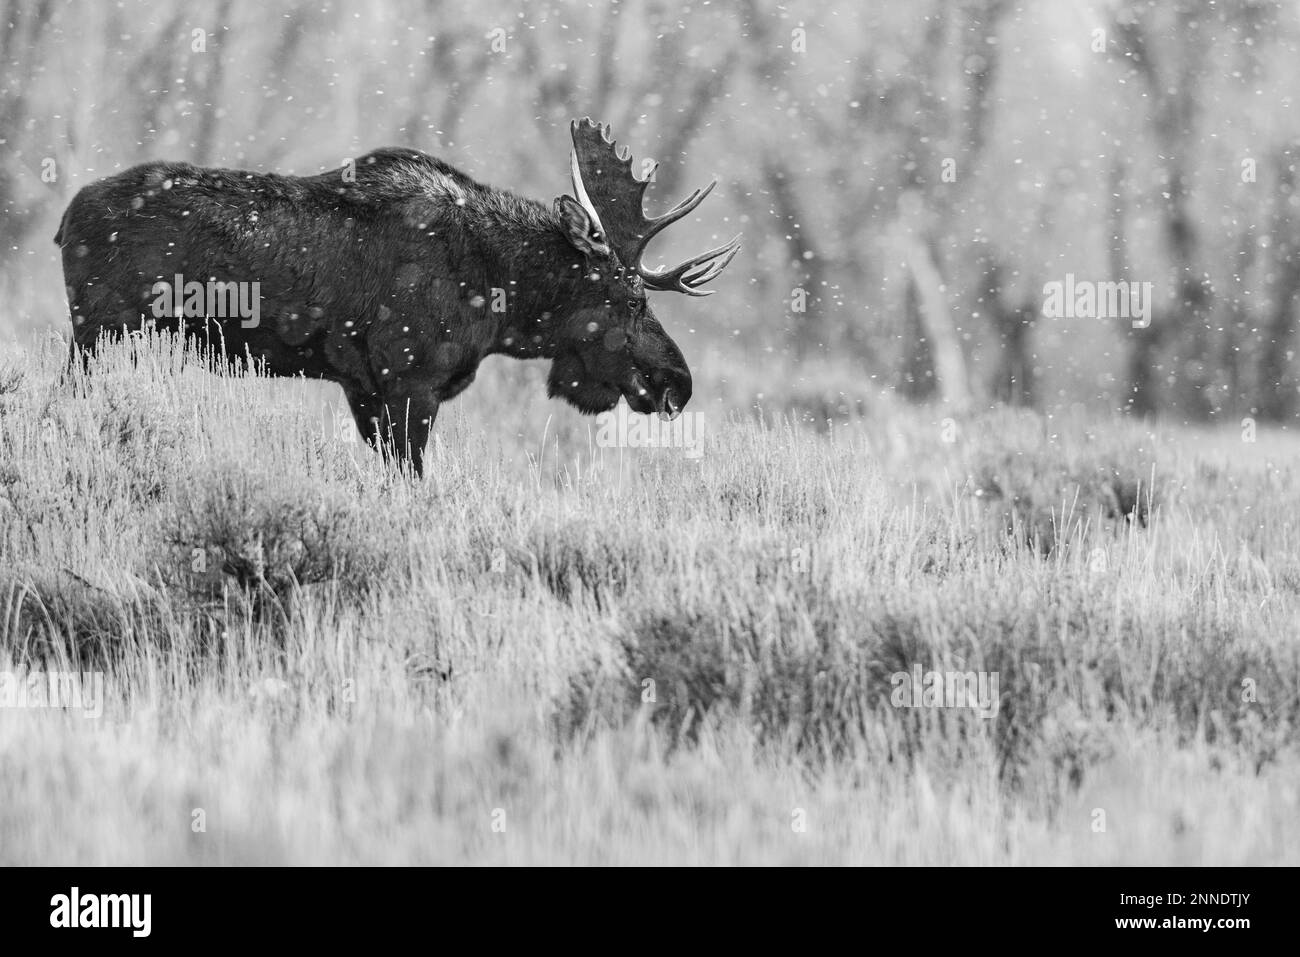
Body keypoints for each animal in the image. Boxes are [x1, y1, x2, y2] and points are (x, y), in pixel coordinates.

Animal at [54, 118, 740, 475]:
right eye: (632, 300)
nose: (679, 382)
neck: (501, 298)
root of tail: (65, 219)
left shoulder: (364, 387)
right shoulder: (409, 380)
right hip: (99, 333)